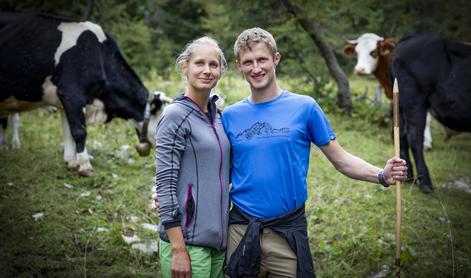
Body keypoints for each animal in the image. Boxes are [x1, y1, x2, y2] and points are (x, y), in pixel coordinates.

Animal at [0, 13, 170, 176]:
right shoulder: (71, 94)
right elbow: (79, 131)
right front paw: (85, 166)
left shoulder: (65, 102)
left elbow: (69, 131)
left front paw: (72, 162)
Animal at [390, 33, 471, 192]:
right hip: (415, 99)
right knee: (414, 137)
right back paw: (425, 183)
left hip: (403, 105)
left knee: (402, 135)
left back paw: (408, 176)